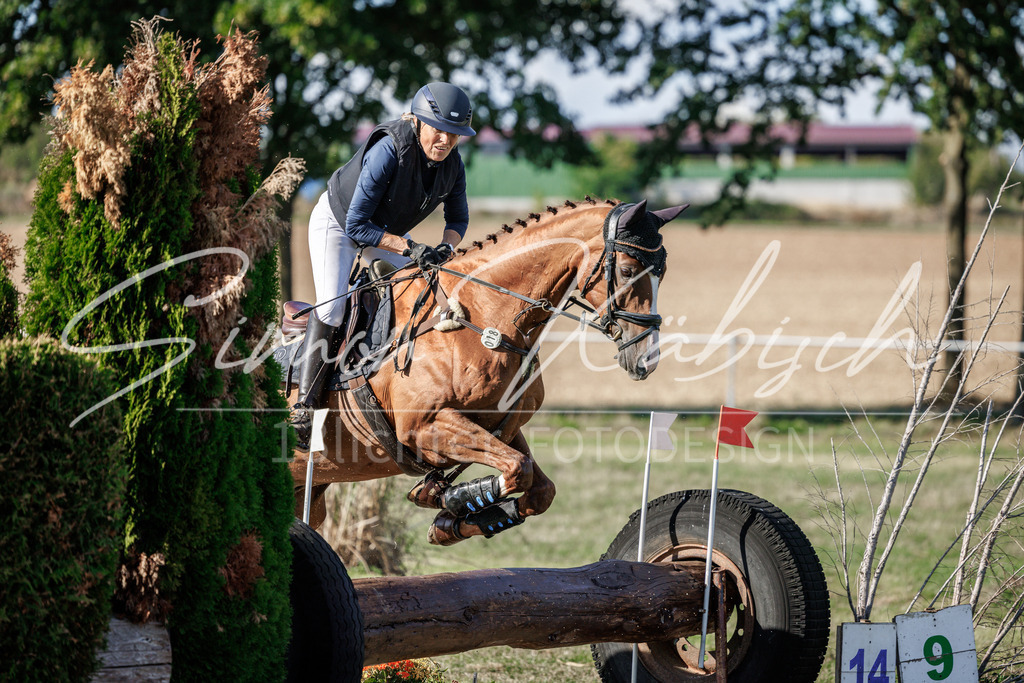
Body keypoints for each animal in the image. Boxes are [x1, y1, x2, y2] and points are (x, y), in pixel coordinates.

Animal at [283, 197, 687, 545]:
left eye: (664, 273)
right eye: (627, 270)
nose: (646, 359)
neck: (484, 314)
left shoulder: (499, 423)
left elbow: (539, 487)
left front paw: (448, 521)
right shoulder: (425, 426)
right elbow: (516, 469)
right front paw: (453, 498)